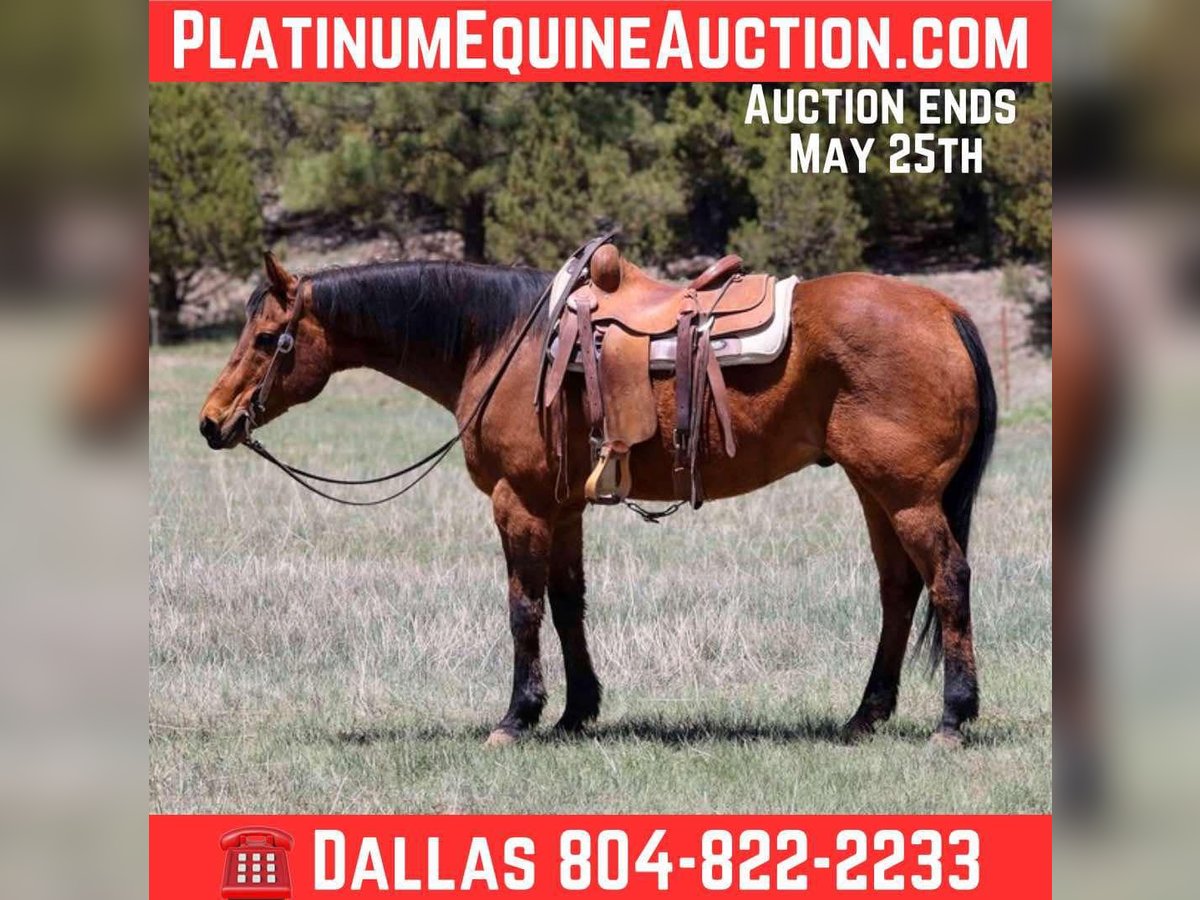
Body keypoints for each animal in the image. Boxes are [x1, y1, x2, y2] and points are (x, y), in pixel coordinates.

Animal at [199, 250, 996, 747]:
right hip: (875, 491)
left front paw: (517, 717)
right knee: (899, 590)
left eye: (268, 338)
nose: (211, 421)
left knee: (948, 581)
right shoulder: (561, 507)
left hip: (908, 496)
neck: (503, 344)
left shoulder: (518, 503)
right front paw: (578, 711)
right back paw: (866, 715)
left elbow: (523, 607)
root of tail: (944, 309)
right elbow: (567, 604)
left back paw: (953, 719)